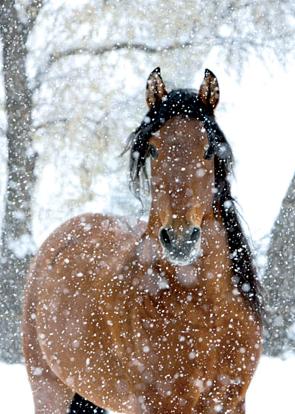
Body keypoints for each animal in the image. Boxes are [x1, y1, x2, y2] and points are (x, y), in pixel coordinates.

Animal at [23, 66, 264, 412]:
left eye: (208, 150)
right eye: (153, 149)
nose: (180, 239)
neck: (205, 314)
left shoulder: (232, 403)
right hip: (49, 390)